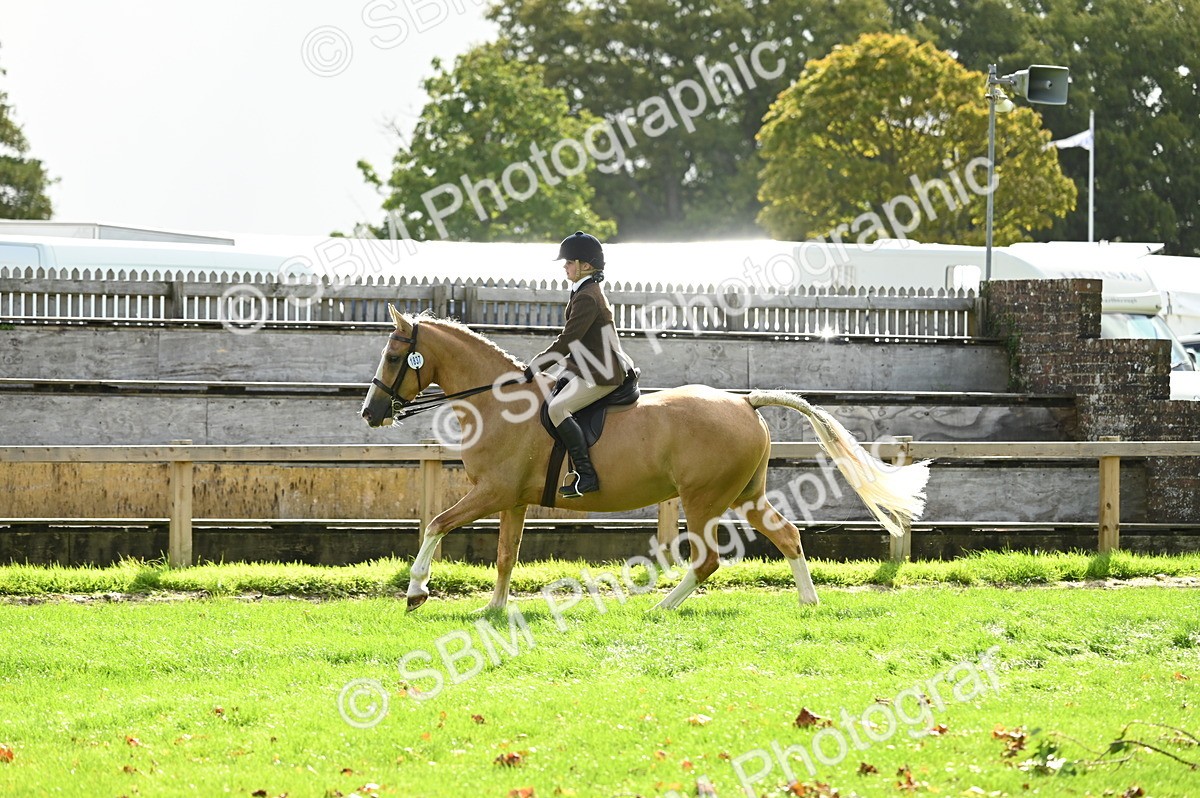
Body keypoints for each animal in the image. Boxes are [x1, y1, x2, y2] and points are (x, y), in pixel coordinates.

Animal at [361, 305, 930, 612]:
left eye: (393, 356)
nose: (370, 412)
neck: (498, 405)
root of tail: (745, 401)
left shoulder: (492, 492)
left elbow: (437, 523)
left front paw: (416, 590)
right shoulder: (512, 500)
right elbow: (505, 556)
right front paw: (495, 608)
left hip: (703, 501)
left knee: (707, 560)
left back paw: (659, 607)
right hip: (745, 496)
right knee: (787, 535)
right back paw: (808, 602)